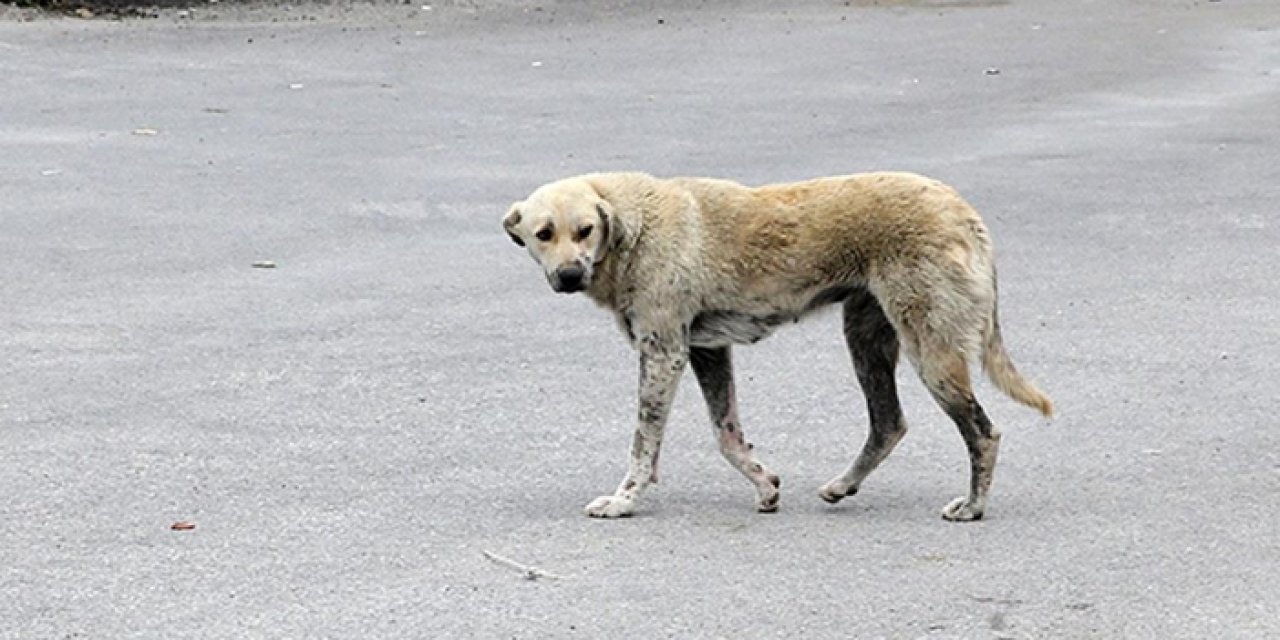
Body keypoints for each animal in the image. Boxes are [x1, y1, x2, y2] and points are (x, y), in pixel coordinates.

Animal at [499, 170, 1049, 519]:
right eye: (543, 234)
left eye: (585, 230)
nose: (569, 275)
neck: (634, 228)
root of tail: (965, 211)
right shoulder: (706, 352)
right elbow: (727, 435)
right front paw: (764, 485)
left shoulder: (663, 355)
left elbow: (643, 445)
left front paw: (624, 501)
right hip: (866, 341)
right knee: (889, 423)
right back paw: (844, 485)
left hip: (932, 353)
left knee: (983, 433)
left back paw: (974, 506)